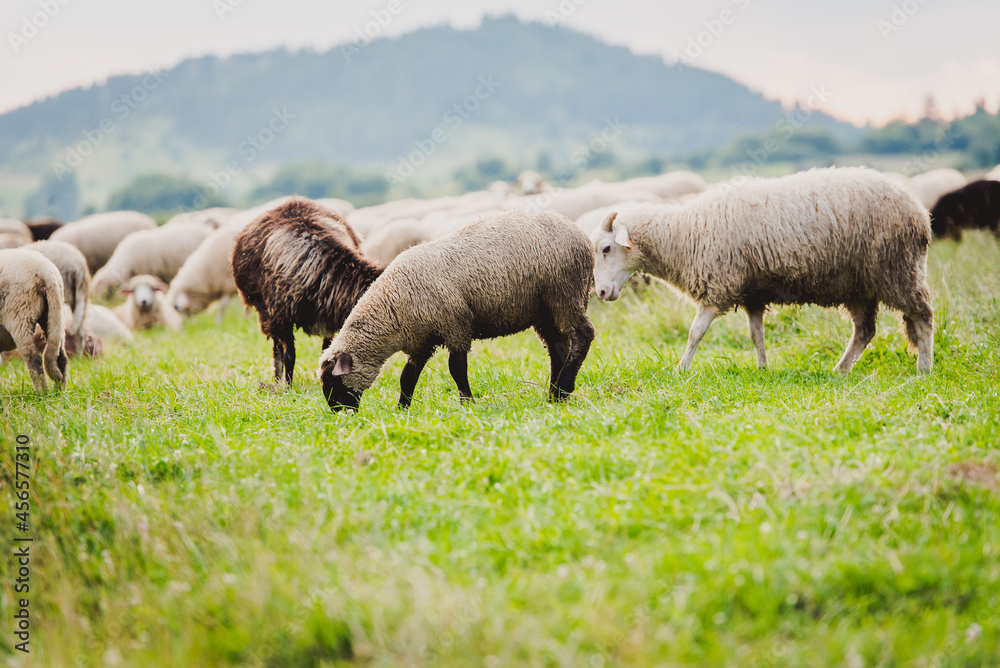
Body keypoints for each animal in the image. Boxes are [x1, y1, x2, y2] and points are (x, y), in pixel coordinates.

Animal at [0, 249, 68, 391]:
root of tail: (46, 273)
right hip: (54, 314)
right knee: (61, 357)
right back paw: (60, 391)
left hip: (20, 313)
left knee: (33, 358)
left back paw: (43, 393)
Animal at [232, 197, 380, 386]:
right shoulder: (281, 316)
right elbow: (289, 355)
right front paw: (288, 387)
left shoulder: (329, 317)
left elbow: (326, 350)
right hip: (265, 313)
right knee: (277, 348)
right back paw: (278, 380)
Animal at [319, 210, 595, 411]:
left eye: (331, 380)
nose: (338, 413)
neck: (393, 306)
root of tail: (581, 234)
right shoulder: (421, 340)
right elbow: (408, 376)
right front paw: (402, 409)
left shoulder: (455, 326)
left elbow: (456, 368)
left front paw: (467, 403)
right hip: (544, 310)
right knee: (558, 347)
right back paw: (555, 396)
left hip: (565, 293)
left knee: (583, 335)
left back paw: (564, 387)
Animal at [592, 167, 934, 374]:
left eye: (606, 249)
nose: (601, 292)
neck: (685, 233)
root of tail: (919, 213)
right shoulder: (752, 293)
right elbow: (756, 334)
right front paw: (762, 368)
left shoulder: (719, 286)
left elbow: (694, 333)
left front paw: (681, 369)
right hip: (859, 284)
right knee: (865, 331)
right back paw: (840, 370)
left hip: (897, 269)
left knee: (923, 316)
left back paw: (924, 368)